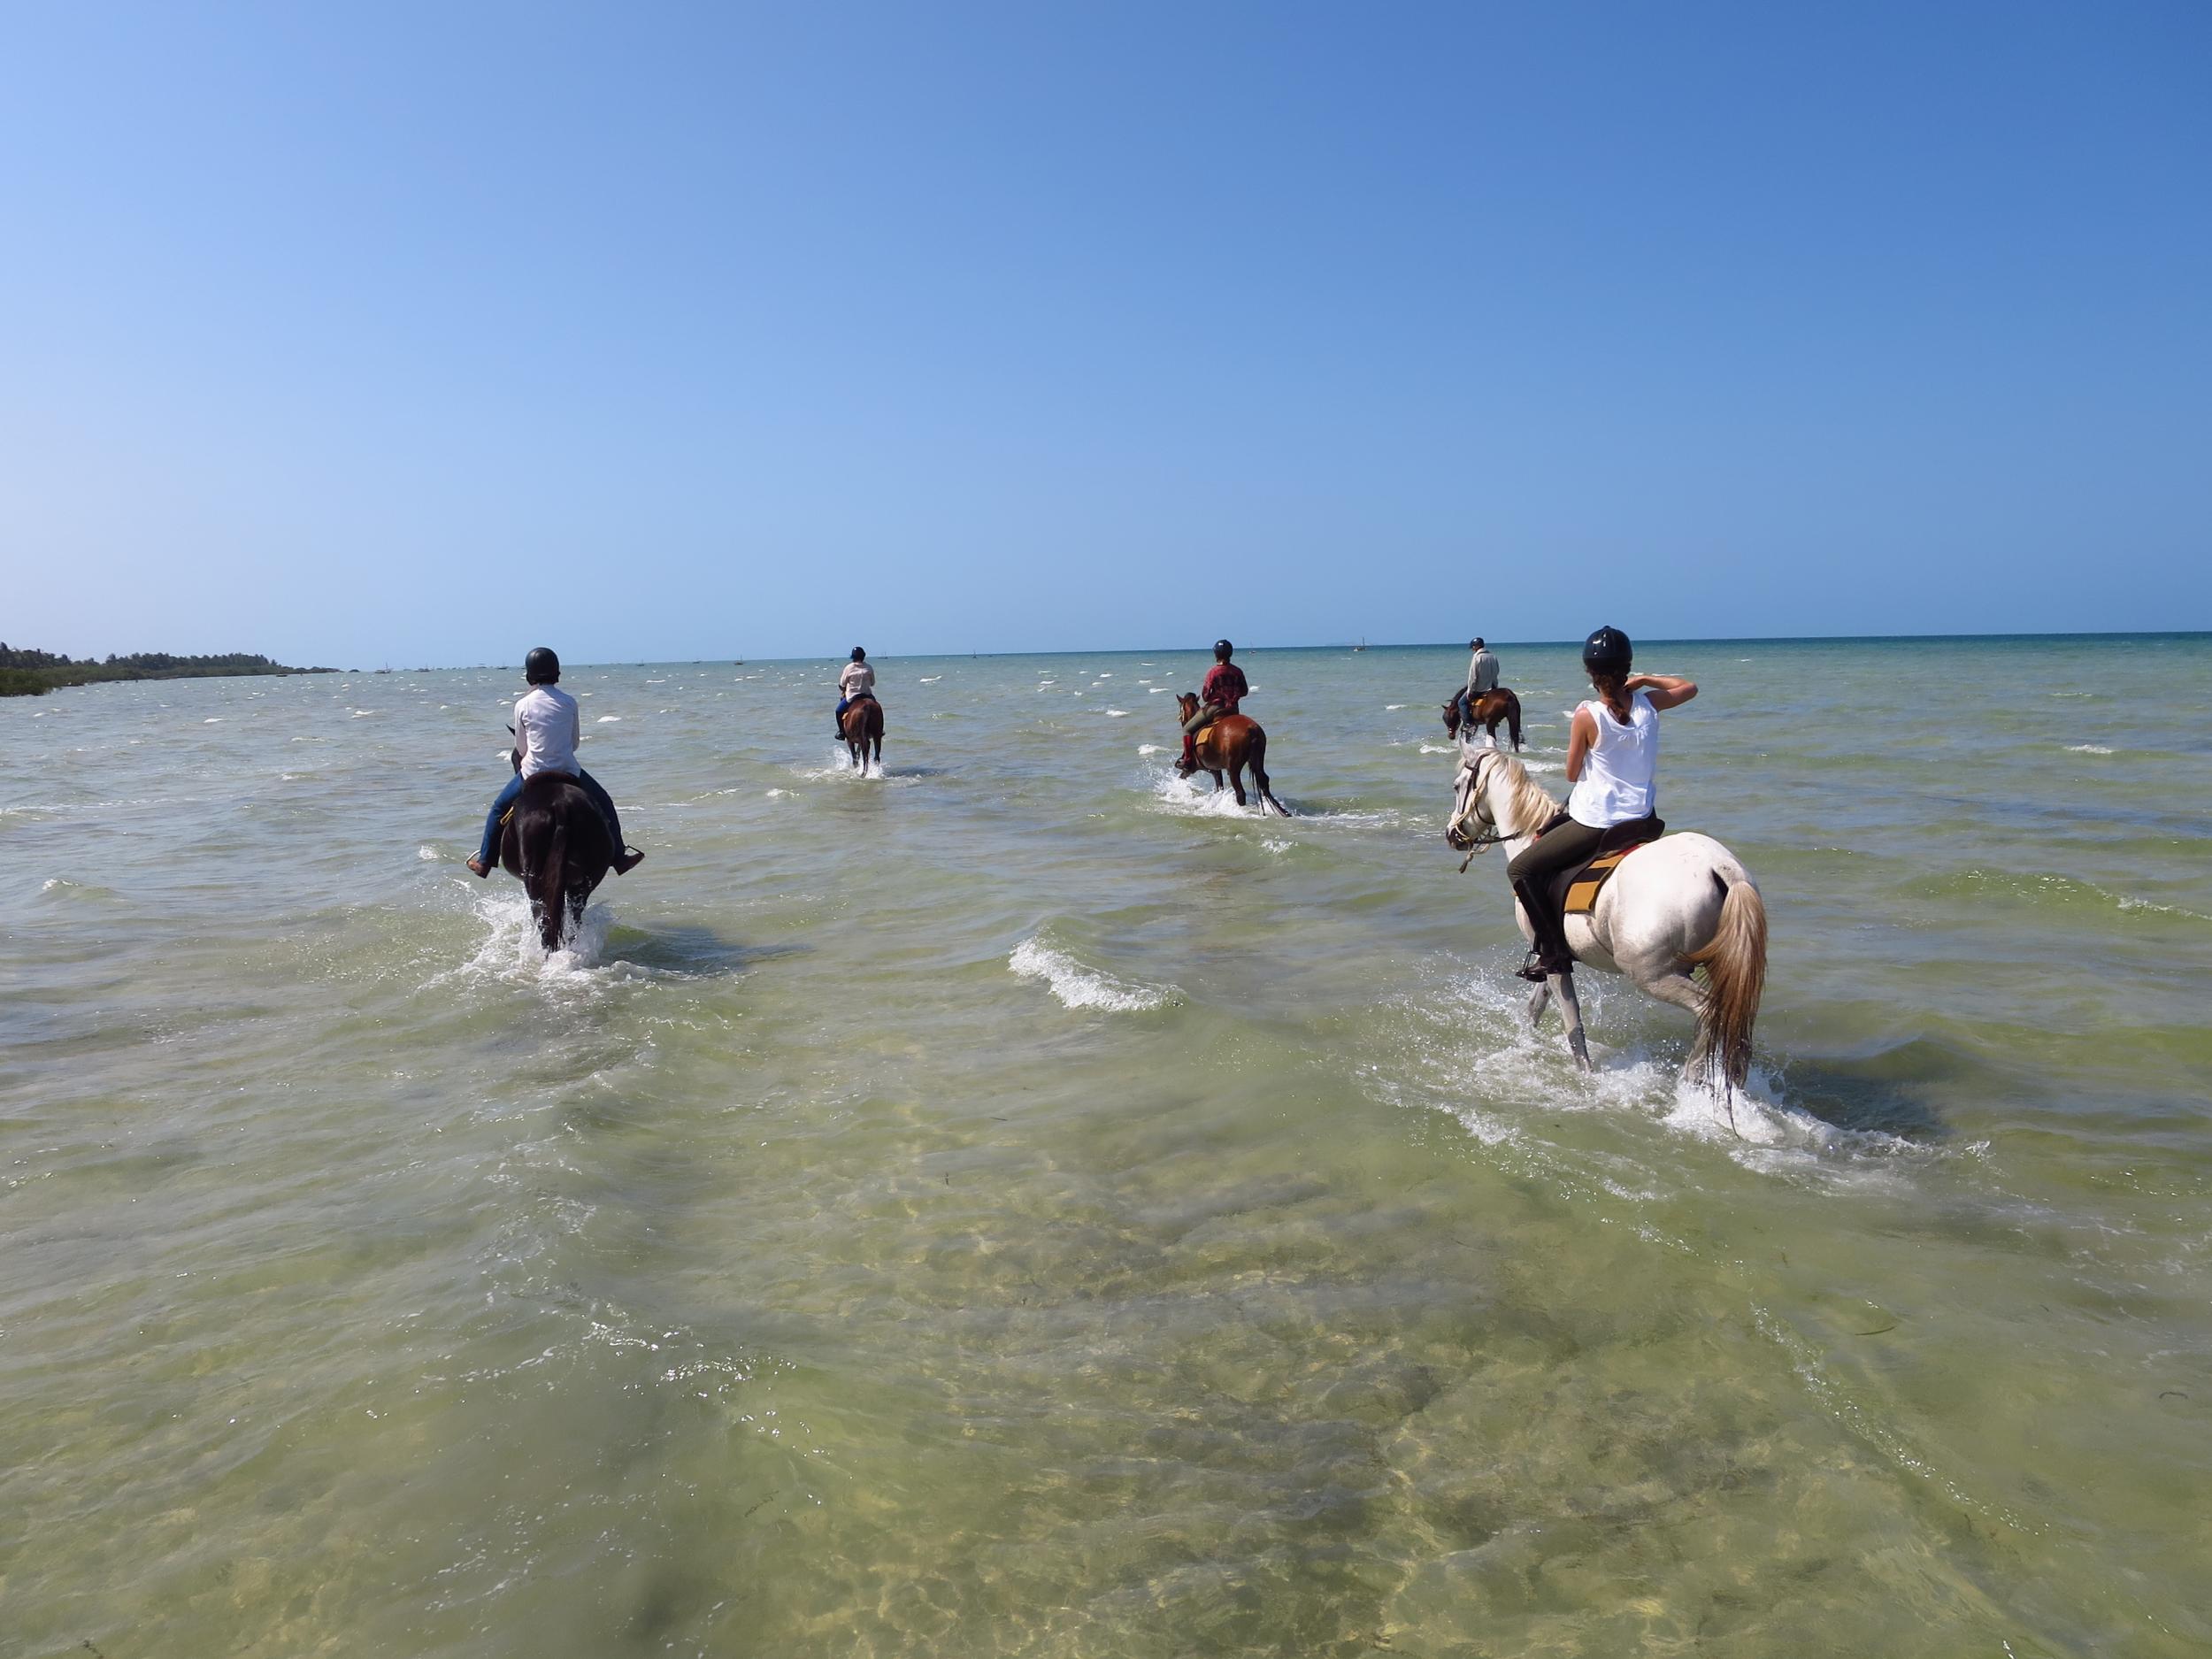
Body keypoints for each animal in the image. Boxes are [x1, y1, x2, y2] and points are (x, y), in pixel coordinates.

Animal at [1173, 693, 1289, 815]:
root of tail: (1251, 729)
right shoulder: (1215, 770)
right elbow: (1219, 787)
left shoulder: (1192, 768)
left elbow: (1181, 777)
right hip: (1258, 761)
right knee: (1264, 782)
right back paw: (1283, 812)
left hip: (1234, 769)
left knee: (1240, 793)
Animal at [1446, 745, 1767, 1101]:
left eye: (1458, 786)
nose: (1452, 835)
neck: (1531, 837)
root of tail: (1720, 867)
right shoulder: (1553, 957)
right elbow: (1536, 1007)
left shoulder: (1554, 960)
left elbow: (1572, 1026)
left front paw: (1585, 1078)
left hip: (1653, 975)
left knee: (1707, 1011)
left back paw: (1692, 1081)